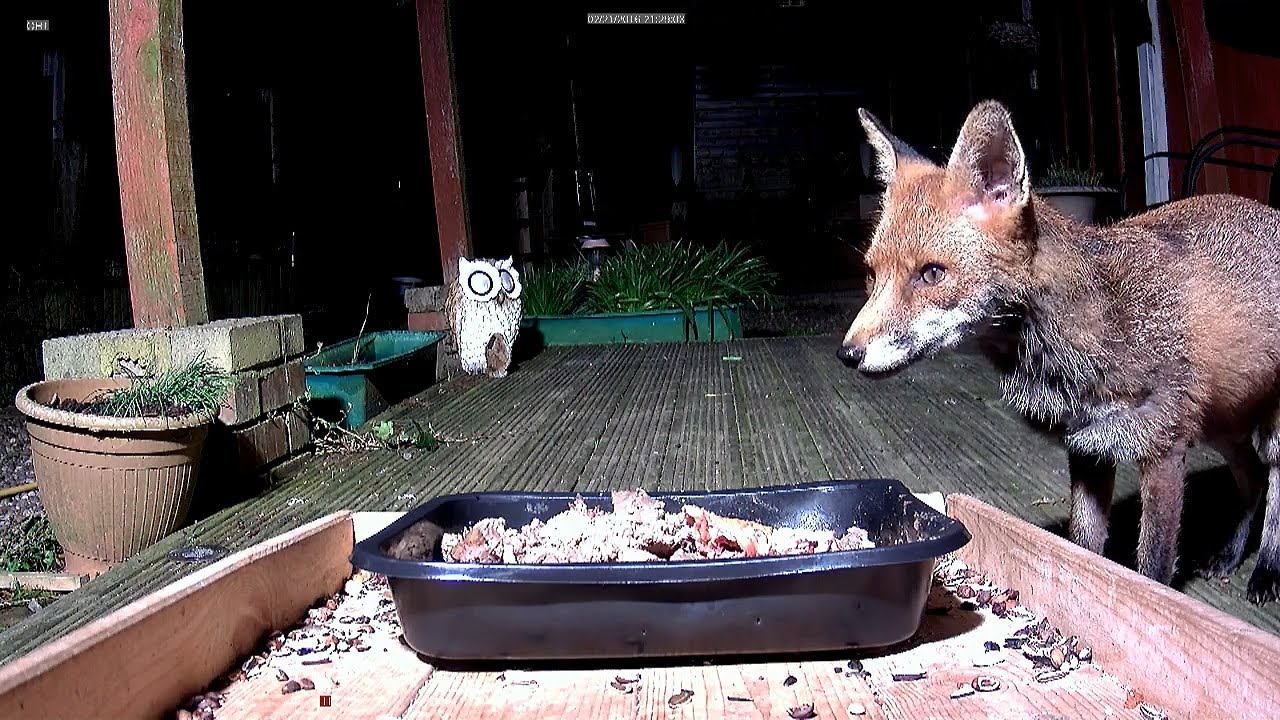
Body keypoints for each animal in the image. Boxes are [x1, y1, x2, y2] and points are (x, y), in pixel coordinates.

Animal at [838, 100, 1280, 604]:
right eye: (871, 275)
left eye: (931, 274)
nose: (848, 353)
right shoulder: (1088, 445)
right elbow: (1082, 549)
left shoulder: (1163, 448)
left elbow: (1152, 571)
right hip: (1220, 423)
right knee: (1252, 478)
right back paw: (1229, 555)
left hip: (1261, 429)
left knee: (1272, 485)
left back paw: (1267, 571)